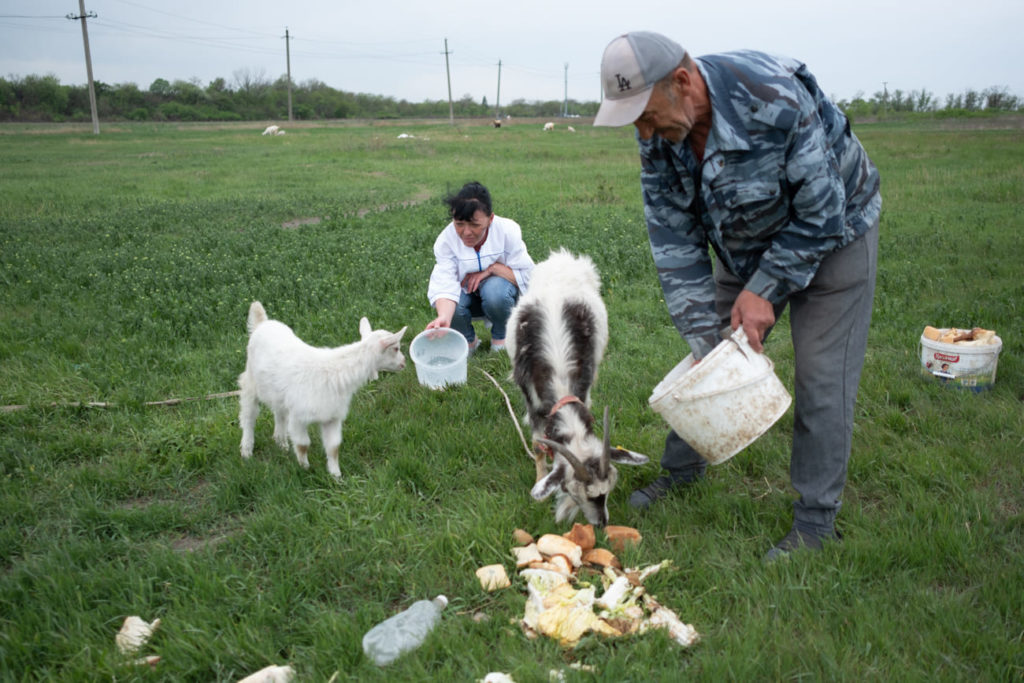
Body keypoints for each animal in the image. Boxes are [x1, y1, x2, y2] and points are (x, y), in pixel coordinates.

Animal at [505, 248, 647, 528]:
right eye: (573, 490)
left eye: (606, 493)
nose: (601, 523)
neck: (559, 375)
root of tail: (564, 256)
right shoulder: (531, 398)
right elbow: (537, 445)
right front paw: (539, 486)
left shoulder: (585, 387)